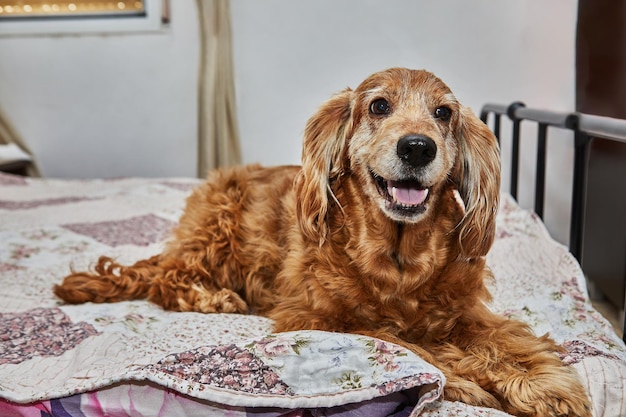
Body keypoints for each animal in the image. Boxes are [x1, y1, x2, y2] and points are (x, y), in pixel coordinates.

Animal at [54, 67, 588, 412]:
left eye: (443, 114)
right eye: (378, 106)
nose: (418, 147)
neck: (397, 255)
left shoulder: (466, 312)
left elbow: (507, 339)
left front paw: (543, 384)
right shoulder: (317, 317)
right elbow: (404, 344)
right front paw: (462, 379)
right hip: (216, 227)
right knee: (167, 276)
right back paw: (211, 296)